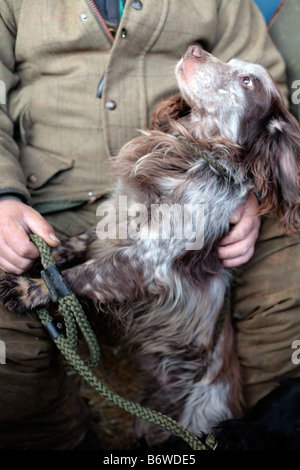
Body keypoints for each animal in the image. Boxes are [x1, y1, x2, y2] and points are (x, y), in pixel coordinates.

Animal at [0, 46, 300, 446]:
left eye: (247, 81)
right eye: (232, 64)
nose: (194, 49)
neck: (191, 155)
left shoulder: (145, 262)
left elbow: (79, 275)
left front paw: (28, 288)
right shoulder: (114, 218)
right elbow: (73, 245)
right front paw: (38, 252)